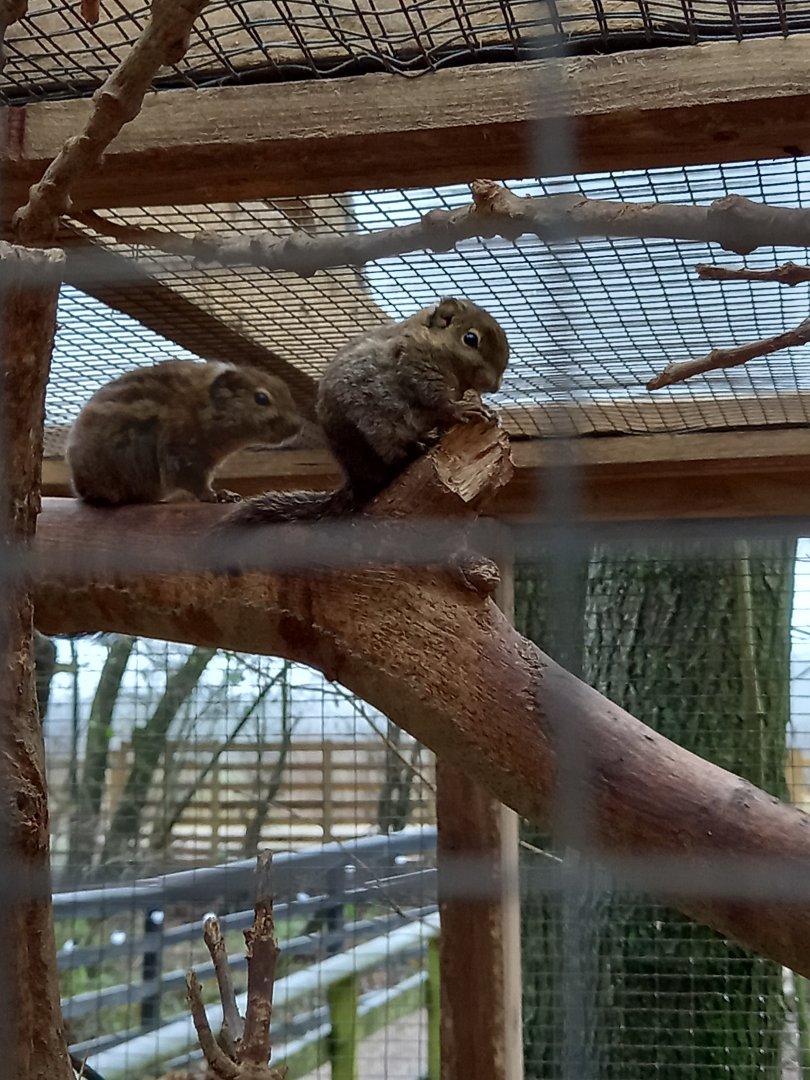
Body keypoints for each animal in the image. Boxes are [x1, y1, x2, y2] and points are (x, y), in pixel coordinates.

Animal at [66, 360, 302, 506]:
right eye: (261, 398)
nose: (297, 427)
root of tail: (79, 483)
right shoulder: (182, 455)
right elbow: (195, 484)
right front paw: (216, 495)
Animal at [227, 296, 510, 524]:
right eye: (470, 339)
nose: (494, 385)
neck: (433, 344)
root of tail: (356, 481)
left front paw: (488, 410)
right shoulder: (416, 369)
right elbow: (439, 402)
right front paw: (464, 408)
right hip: (376, 429)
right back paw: (418, 445)